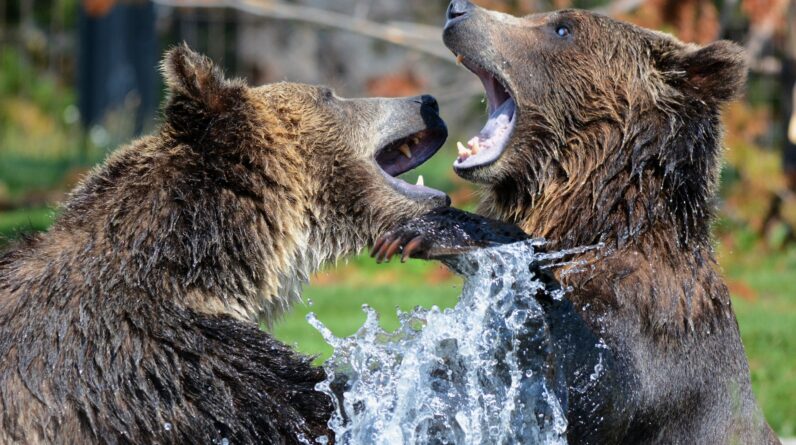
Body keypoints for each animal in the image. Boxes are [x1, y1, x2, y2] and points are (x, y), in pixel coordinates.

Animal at [373, 2, 780, 444]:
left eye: (562, 29)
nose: (458, 10)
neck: (600, 221)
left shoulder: (654, 330)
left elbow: (592, 380)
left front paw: (428, 231)